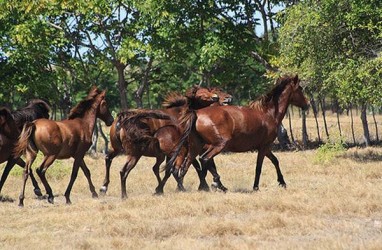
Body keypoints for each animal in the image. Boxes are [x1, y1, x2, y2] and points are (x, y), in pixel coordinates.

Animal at [166, 75, 308, 190]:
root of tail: (196, 113)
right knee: (204, 160)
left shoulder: (265, 147)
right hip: (218, 145)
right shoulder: (263, 147)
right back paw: (215, 184)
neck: (268, 113)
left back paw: (184, 187)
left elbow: (275, 161)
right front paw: (256, 187)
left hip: (195, 147)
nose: (307, 105)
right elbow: (259, 167)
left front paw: (282, 182)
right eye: (300, 88)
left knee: (185, 166)